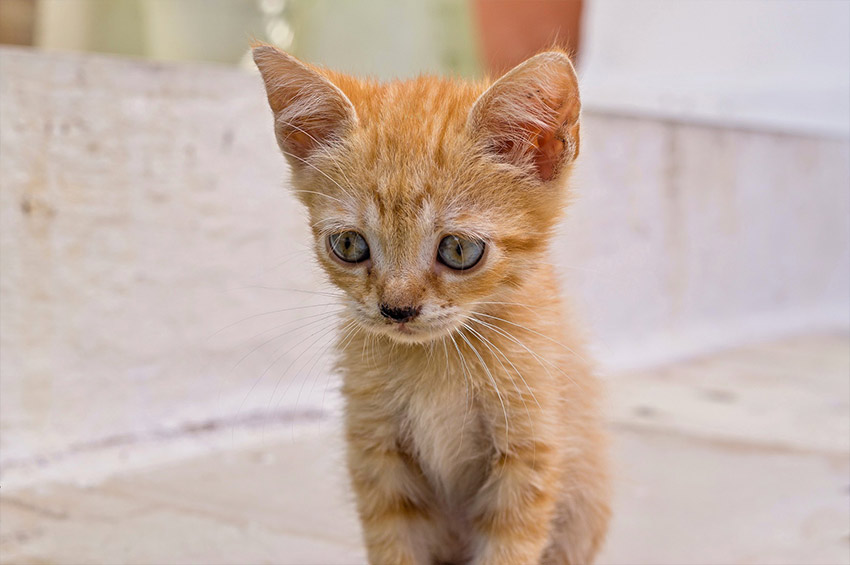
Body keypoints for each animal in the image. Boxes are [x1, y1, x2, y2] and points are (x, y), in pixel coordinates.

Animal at [252, 45, 608, 564]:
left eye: (459, 250)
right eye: (349, 245)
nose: (396, 310)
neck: (438, 363)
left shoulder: (530, 450)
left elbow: (508, 547)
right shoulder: (377, 452)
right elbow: (395, 545)